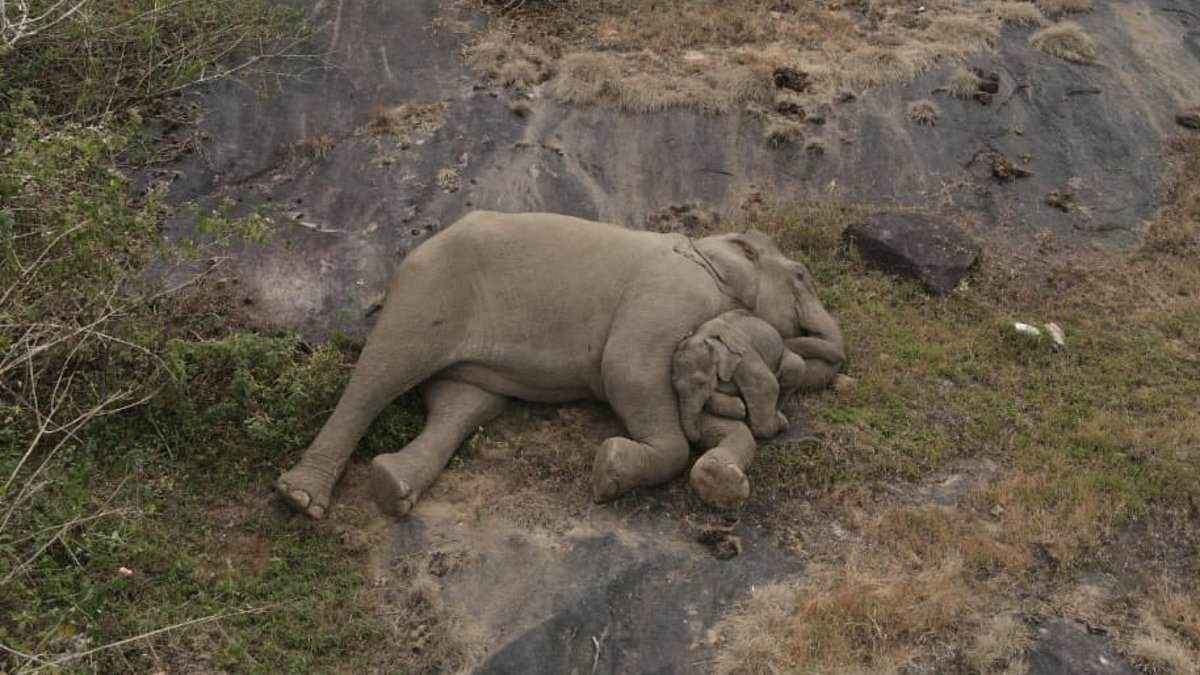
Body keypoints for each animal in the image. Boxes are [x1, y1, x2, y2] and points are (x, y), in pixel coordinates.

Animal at [674, 310, 844, 510]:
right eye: (675, 388)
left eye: (701, 383)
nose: (696, 440)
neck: (703, 336)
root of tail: (784, 340)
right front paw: (740, 408)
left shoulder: (744, 356)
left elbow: (765, 385)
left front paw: (774, 425)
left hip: (786, 358)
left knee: (792, 370)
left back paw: (780, 418)